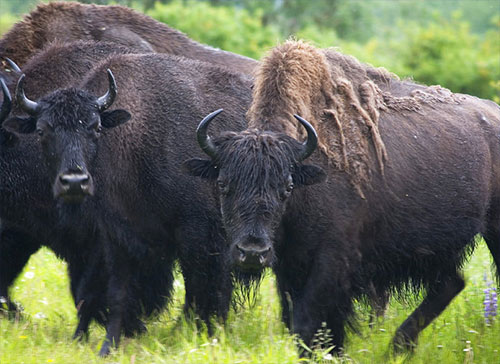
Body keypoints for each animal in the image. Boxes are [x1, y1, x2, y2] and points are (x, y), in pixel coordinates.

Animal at [5, 52, 252, 356]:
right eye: (42, 131)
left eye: (96, 128)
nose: (74, 182)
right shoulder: (117, 237)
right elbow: (117, 294)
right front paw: (107, 346)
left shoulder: (199, 235)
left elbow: (204, 286)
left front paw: (201, 334)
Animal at [186, 41, 500, 354]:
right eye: (223, 184)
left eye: (287, 187)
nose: (252, 252)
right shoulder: (289, 265)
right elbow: (298, 321)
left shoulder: (332, 261)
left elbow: (308, 320)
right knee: (451, 283)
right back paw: (399, 347)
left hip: (488, 233)